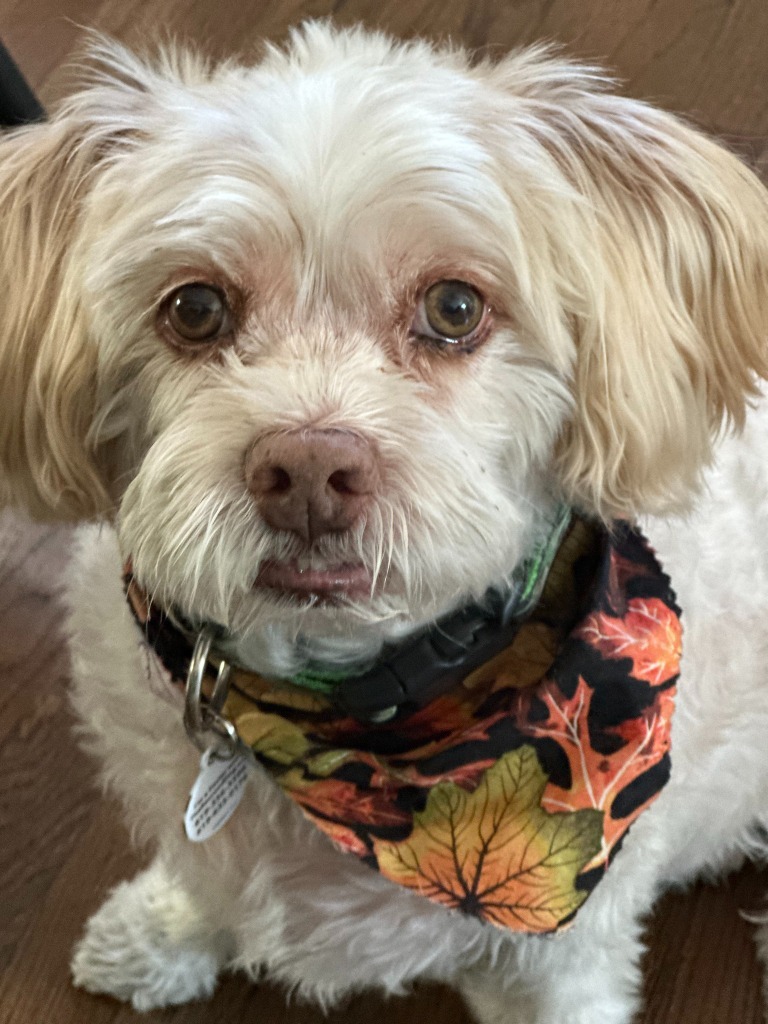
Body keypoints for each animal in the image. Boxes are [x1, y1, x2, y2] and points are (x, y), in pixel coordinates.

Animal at [1, 22, 768, 1024]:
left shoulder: (564, 956)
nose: (308, 472)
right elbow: (199, 867)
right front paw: (163, 933)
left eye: (454, 306)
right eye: (195, 307)